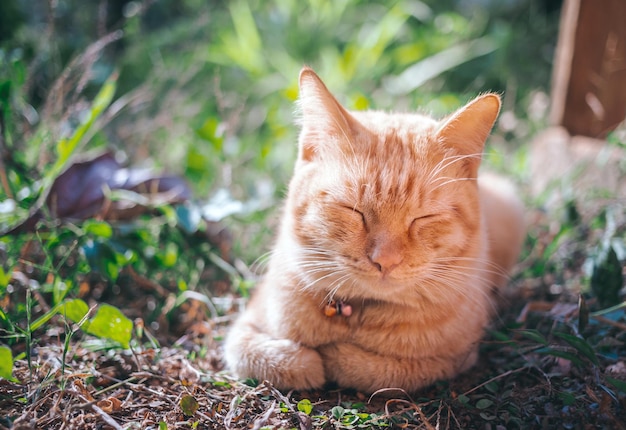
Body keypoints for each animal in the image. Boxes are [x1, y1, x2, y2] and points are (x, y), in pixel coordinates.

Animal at [222, 67, 524, 394]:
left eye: (422, 218)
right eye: (354, 211)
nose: (385, 261)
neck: (356, 315)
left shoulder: (454, 359)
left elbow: (379, 369)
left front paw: (336, 357)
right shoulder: (244, 327)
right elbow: (269, 357)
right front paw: (305, 361)